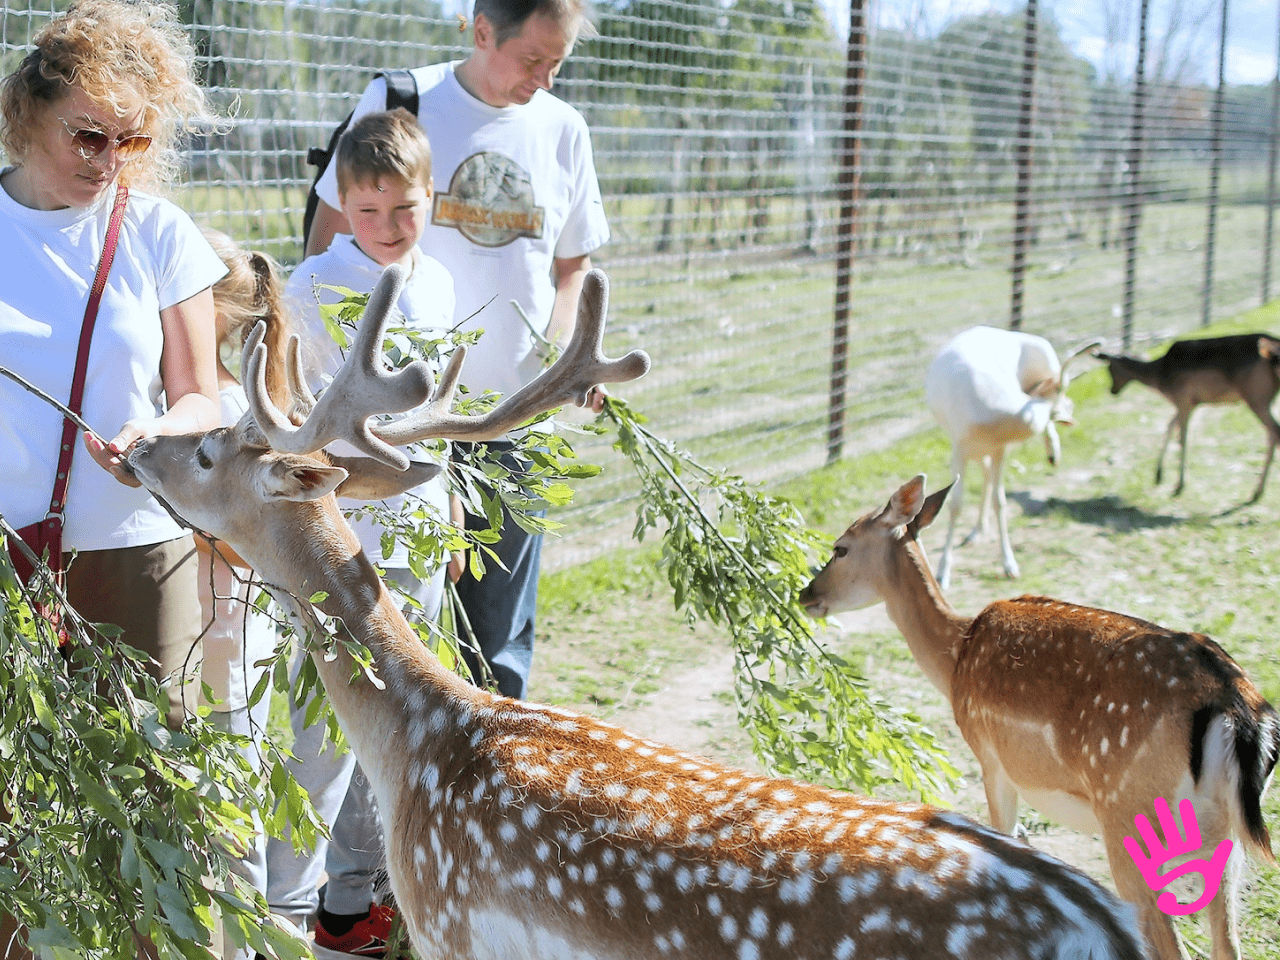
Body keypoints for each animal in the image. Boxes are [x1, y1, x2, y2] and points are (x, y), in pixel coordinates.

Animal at [798, 478, 1280, 960]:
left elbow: (1005, 829)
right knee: (1227, 943)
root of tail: (1235, 707)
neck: (955, 656)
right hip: (1229, 839)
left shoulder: (989, 757)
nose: (806, 594)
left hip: (1129, 821)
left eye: (840, 547)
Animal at [931, 327, 1100, 591]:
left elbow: (1000, 502)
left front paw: (1009, 565)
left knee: (989, 477)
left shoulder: (1000, 449)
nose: (1096, 347)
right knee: (986, 474)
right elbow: (955, 505)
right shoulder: (960, 450)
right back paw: (975, 533)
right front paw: (942, 574)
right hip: (973, 450)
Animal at [1090, 332, 1280, 504]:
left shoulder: (1182, 399)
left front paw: (1179, 485)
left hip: (1255, 396)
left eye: (1109, 369)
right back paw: (1258, 491)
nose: (1112, 391)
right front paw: (1158, 475)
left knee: (1274, 432)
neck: (1159, 378)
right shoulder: (1189, 403)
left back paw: (1257, 491)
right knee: (1272, 434)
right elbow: (1169, 428)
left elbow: (1182, 438)